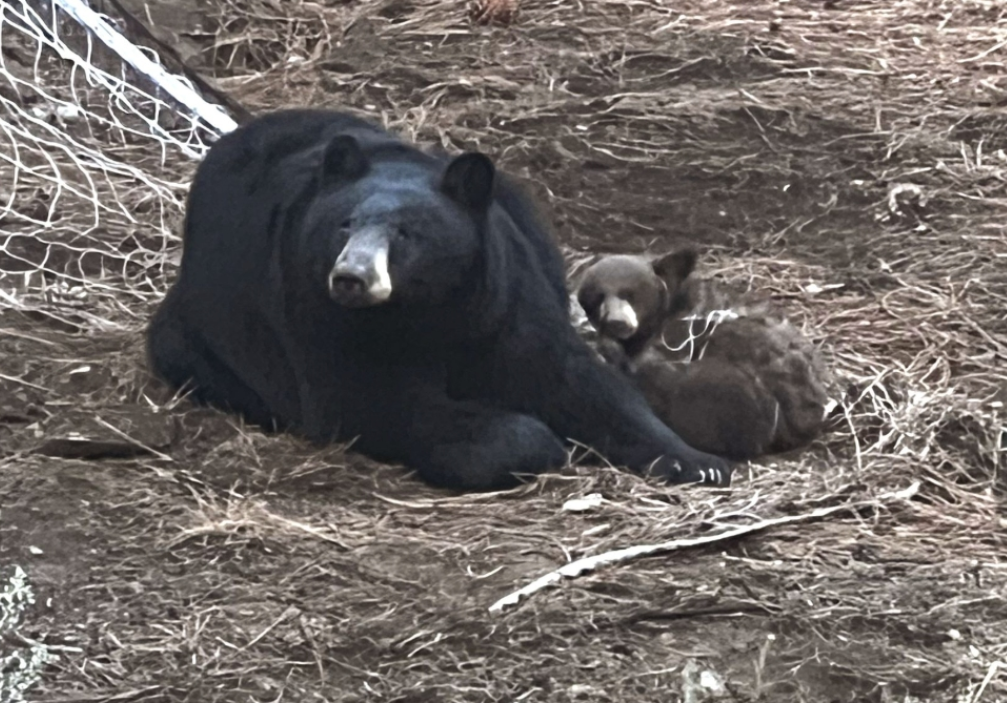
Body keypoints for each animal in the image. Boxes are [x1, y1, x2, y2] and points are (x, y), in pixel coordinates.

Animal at [146, 108, 733, 492]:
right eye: (344, 225)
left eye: (407, 234)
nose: (351, 278)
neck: (429, 310)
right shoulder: (314, 310)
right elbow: (372, 399)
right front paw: (537, 442)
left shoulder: (504, 291)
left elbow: (573, 378)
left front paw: (699, 461)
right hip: (197, 327)